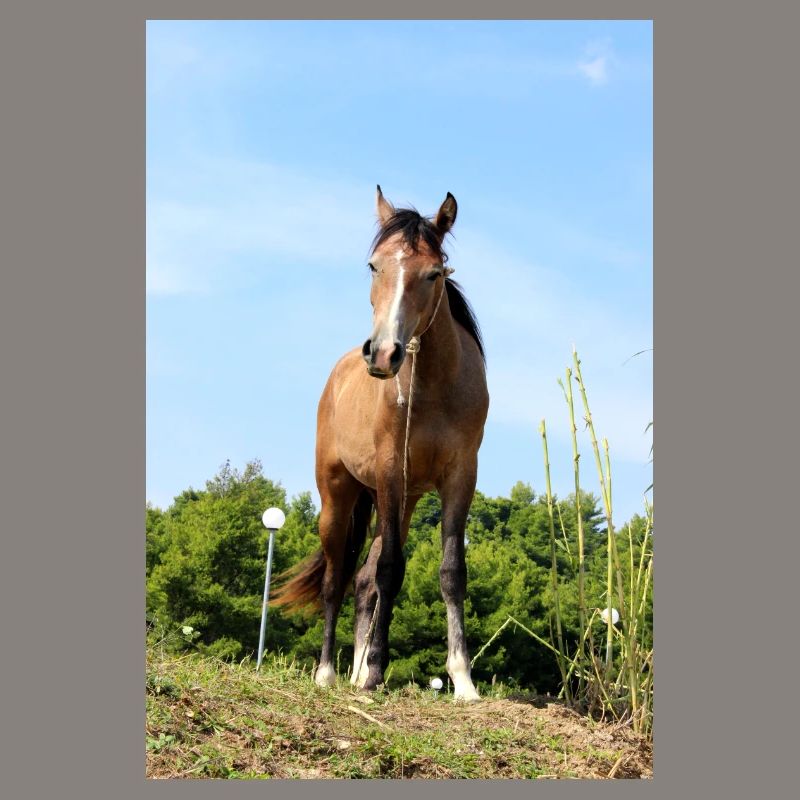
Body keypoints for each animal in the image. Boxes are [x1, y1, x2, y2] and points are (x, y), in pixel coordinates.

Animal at [271, 187, 488, 703]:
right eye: (374, 266)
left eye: (434, 273)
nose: (384, 353)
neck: (433, 386)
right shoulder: (391, 472)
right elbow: (391, 570)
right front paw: (373, 673)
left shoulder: (460, 476)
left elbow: (451, 572)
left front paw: (463, 679)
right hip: (339, 497)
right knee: (337, 581)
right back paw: (330, 672)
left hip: (402, 501)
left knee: (363, 581)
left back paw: (352, 671)